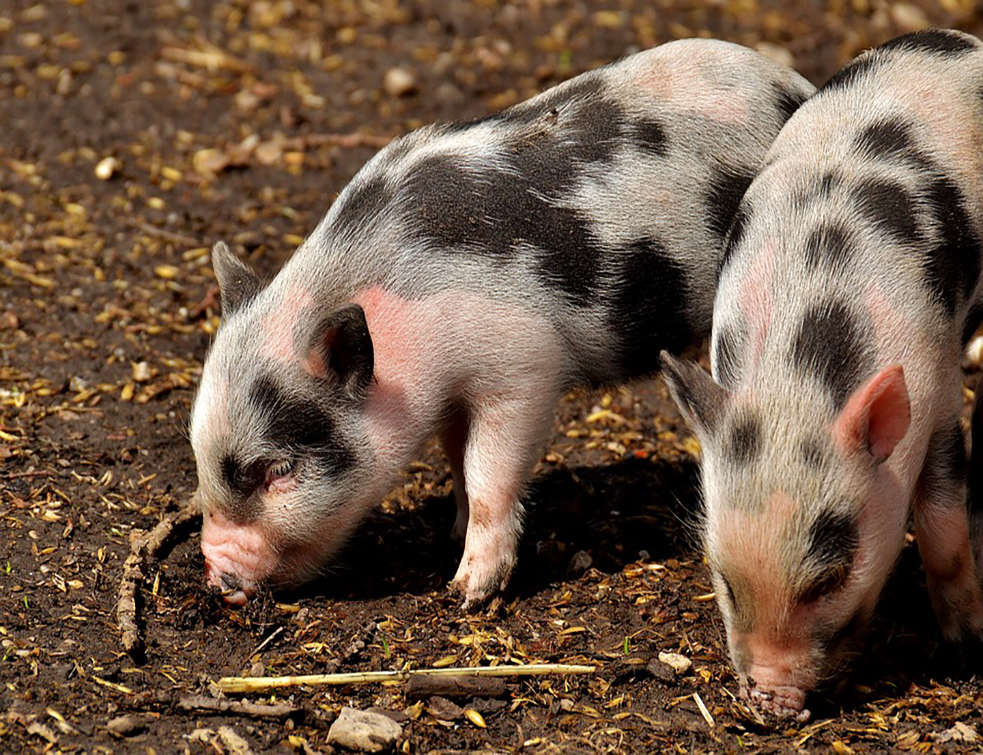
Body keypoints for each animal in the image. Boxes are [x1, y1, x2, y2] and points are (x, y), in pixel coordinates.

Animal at [190, 38, 815, 608]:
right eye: (196, 452)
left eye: (278, 470)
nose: (219, 582)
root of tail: (796, 87)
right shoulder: (451, 394)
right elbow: (455, 458)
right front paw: (451, 532)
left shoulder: (522, 363)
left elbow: (488, 472)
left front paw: (465, 594)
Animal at [661, 28, 983, 721]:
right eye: (725, 579)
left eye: (831, 578)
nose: (771, 698)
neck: (798, 384)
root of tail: (952, 38)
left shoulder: (941, 386)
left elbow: (943, 527)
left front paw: (969, 649)